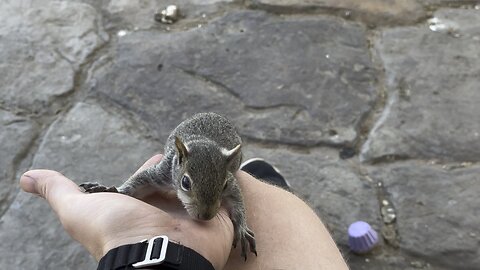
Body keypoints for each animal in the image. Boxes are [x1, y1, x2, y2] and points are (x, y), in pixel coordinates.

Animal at [80, 111, 256, 260]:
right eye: (185, 182)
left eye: (224, 184)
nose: (206, 216)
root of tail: (213, 114)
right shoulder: (161, 174)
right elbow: (138, 183)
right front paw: (111, 189)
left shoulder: (232, 184)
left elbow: (238, 201)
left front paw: (241, 229)